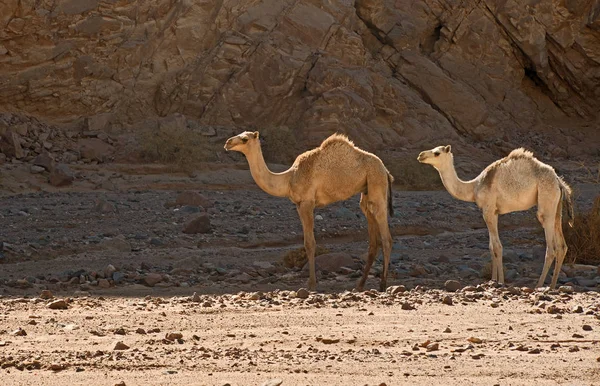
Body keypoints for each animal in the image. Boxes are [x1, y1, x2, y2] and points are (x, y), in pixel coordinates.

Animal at [225, 131, 394, 292]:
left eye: (245, 139)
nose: (228, 142)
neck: (288, 179)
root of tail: (386, 170)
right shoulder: (299, 205)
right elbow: (307, 242)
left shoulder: (307, 203)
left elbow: (310, 243)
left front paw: (311, 284)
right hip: (366, 195)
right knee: (373, 240)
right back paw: (359, 285)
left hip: (377, 184)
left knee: (386, 238)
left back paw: (383, 285)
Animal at [418, 146, 576, 290]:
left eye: (437, 153)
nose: (420, 155)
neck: (473, 187)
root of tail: (559, 181)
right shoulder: (493, 212)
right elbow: (491, 247)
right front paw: (492, 280)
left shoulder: (487, 210)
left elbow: (498, 247)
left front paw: (500, 282)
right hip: (556, 208)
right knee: (562, 246)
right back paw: (553, 286)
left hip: (546, 202)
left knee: (551, 248)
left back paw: (539, 285)